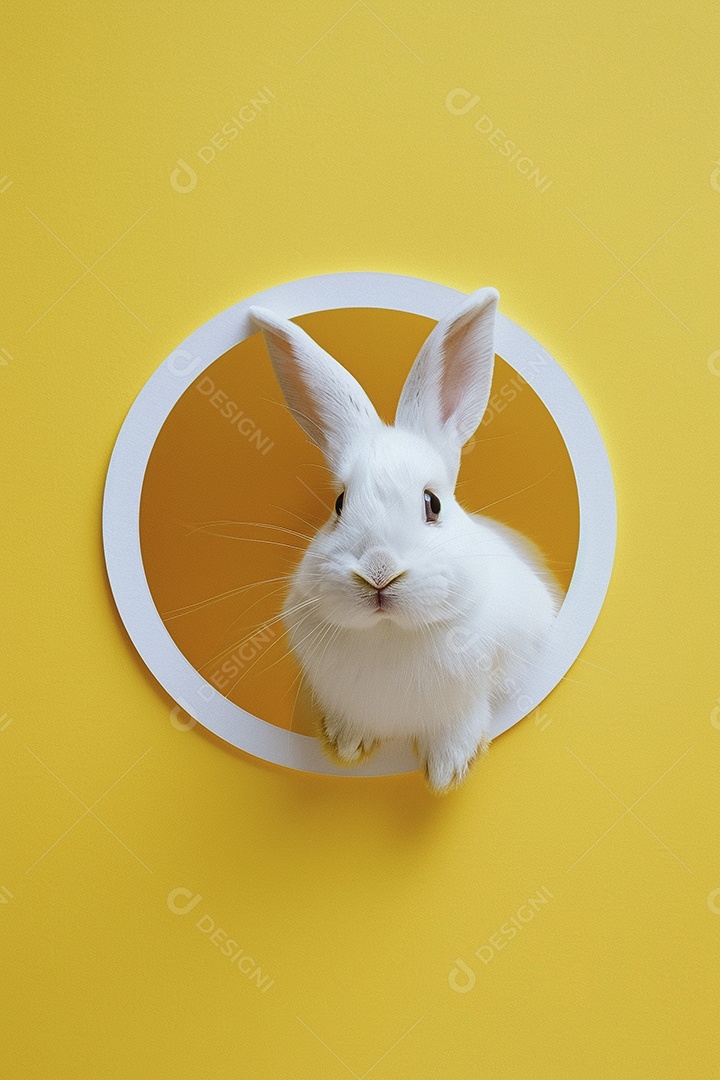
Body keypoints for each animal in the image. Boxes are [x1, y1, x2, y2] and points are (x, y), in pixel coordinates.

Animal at [248, 289, 563, 793]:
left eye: (432, 503)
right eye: (339, 504)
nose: (378, 571)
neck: (392, 634)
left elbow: (463, 720)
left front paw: (448, 770)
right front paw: (345, 747)